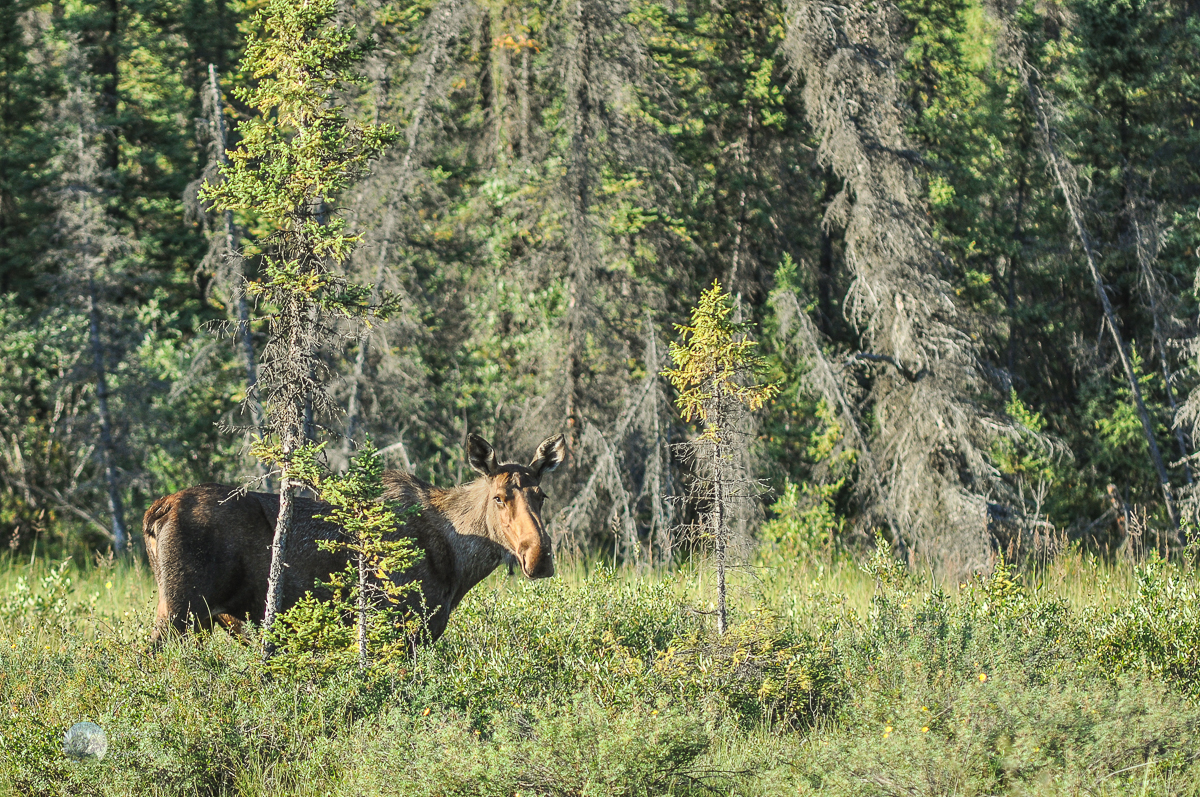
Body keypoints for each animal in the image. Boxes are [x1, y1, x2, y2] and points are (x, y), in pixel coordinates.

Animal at [141, 432, 566, 643]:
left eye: (541, 495)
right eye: (499, 498)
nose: (540, 556)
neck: (460, 564)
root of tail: (157, 510)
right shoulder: (399, 624)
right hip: (178, 610)